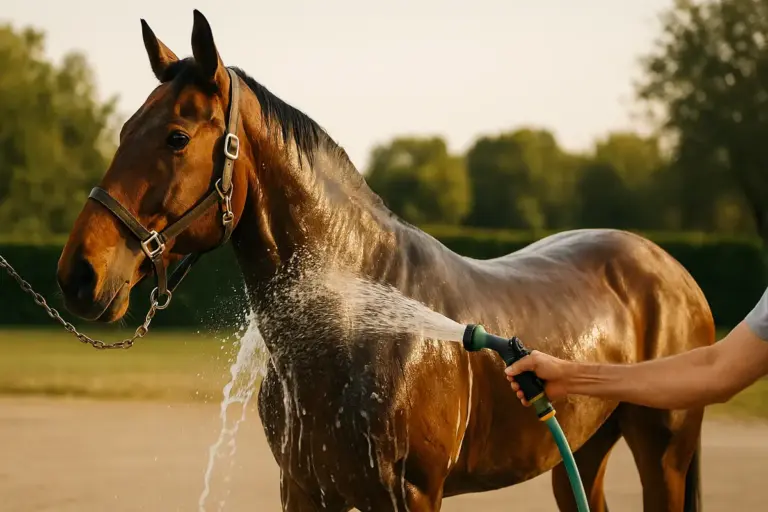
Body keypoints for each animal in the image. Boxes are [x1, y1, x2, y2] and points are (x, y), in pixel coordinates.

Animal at [56, 10, 713, 511]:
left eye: (176, 137)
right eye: (125, 128)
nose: (78, 273)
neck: (352, 327)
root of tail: (672, 272)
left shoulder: (411, 494)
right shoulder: (305, 489)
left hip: (663, 455)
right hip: (581, 452)